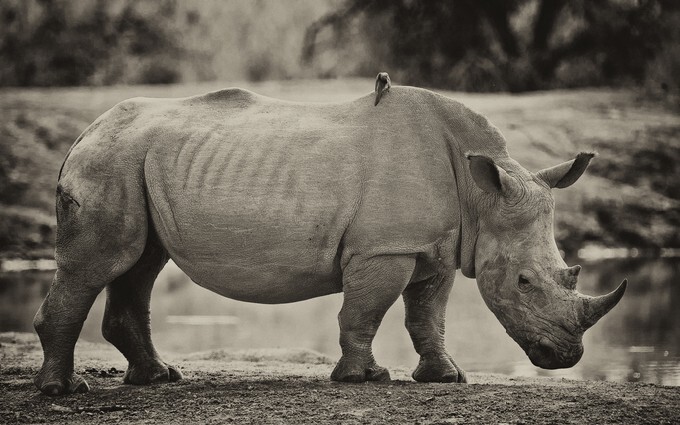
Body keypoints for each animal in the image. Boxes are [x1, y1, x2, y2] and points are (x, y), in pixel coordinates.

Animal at [33, 81, 627, 395]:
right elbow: (365, 311)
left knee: (140, 264)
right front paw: (365, 378)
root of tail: (84, 133)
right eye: (524, 282)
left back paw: (158, 379)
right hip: (110, 161)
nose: (566, 356)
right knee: (101, 264)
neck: (482, 195)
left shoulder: (434, 248)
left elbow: (427, 315)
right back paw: (64, 391)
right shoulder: (383, 248)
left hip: (132, 162)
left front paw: (444, 378)